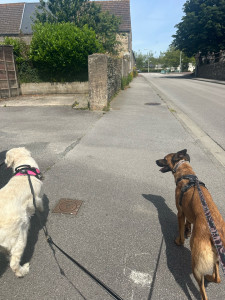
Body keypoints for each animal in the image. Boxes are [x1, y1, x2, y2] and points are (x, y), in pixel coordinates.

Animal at [156, 150, 225, 300]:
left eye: (164, 158)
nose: (156, 161)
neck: (186, 173)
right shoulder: (188, 212)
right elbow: (188, 222)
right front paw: (188, 229)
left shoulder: (180, 212)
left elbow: (181, 230)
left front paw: (179, 240)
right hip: (216, 257)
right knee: (217, 278)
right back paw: (210, 277)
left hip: (196, 265)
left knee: (203, 291)